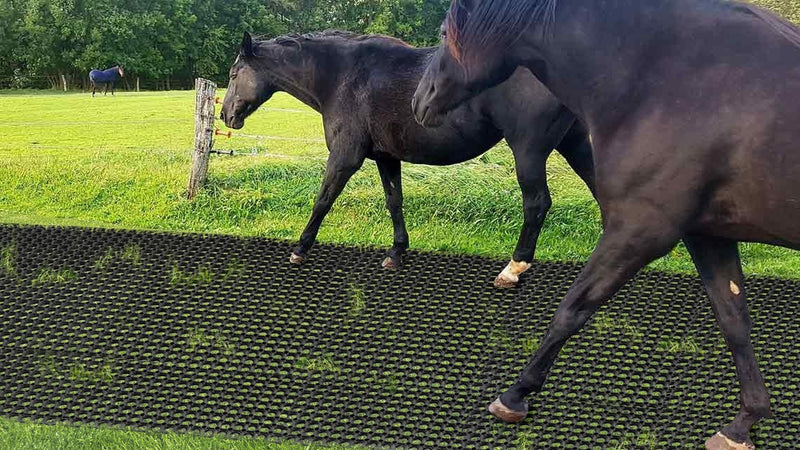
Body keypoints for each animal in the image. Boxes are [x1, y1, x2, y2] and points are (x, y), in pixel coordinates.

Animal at [219, 31, 592, 286]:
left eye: (234, 74)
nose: (225, 116)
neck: (342, 76)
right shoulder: (386, 157)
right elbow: (394, 201)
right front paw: (397, 253)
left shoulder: (345, 156)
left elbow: (323, 199)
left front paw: (300, 248)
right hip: (574, 144)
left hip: (529, 151)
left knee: (537, 204)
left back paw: (513, 269)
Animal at [416, 0, 800, 450]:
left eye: (444, 33)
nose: (418, 100)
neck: (667, 77)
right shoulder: (706, 235)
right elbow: (734, 319)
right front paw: (743, 422)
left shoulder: (638, 230)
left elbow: (573, 308)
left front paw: (516, 394)